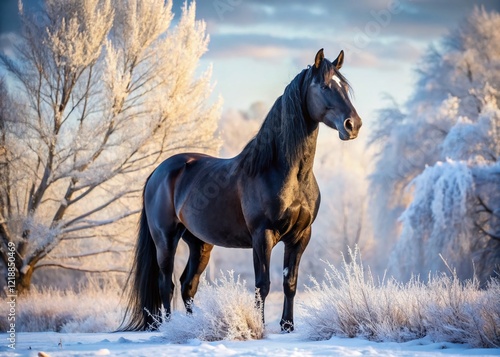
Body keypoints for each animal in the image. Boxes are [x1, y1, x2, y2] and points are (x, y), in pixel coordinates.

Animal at [121, 48, 364, 330]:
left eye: (344, 87)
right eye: (324, 86)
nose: (353, 125)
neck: (285, 173)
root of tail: (158, 172)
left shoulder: (301, 237)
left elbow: (289, 283)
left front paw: (287, 327)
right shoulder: (262, 236)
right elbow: (262, 285)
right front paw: (260, 327)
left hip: (199, 243)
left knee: (187, 285)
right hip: (165, 239)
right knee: (166, 285)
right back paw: (170, 327)